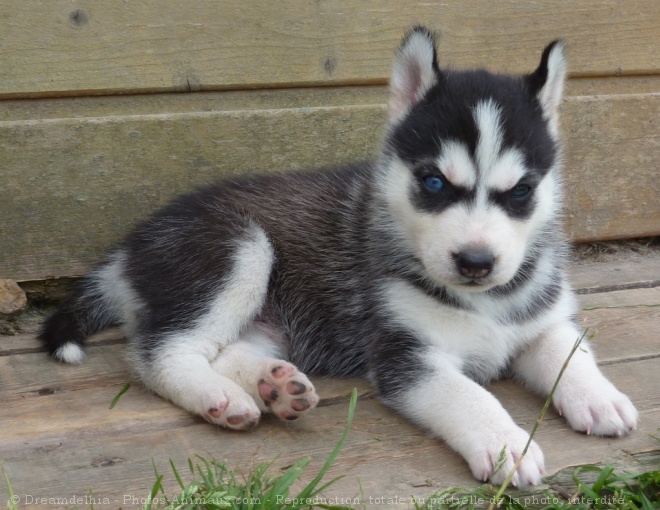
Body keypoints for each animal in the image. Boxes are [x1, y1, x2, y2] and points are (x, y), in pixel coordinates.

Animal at [40, 26, 636, 486]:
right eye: (434, 183)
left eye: (521, 192)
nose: (475, 261)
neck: (486, 300)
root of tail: (132, 243)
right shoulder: (405, 355)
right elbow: (469, 395)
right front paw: (506, 443)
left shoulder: (541, 317)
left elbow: (567, 349)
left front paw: (599, 396)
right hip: (238, 249)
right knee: (158, 353)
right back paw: (222, 397)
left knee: (225, 348)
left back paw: (276, 384)